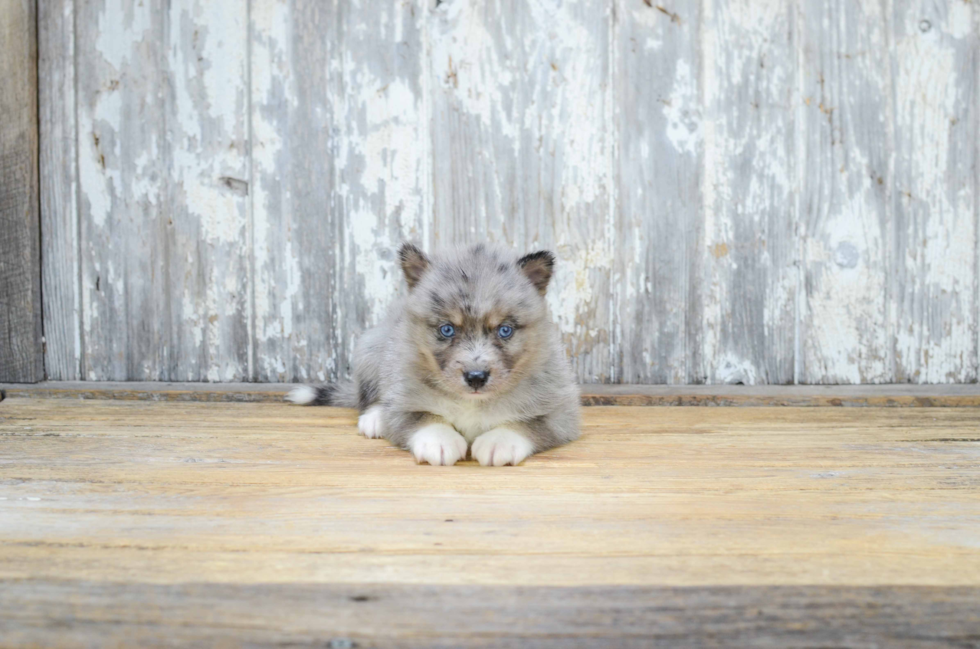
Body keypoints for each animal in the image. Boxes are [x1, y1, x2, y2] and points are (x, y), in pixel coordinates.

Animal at [290, 240, 580, 464]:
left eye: (505, 330)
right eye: (447, 329)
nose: (476, 377)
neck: (472, 403)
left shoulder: (561, 412)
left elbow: (528, 424)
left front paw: (499, 442)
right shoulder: (402, 404)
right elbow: (423, 418)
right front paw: (440, 441)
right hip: (371, 349)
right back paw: (373, 419)